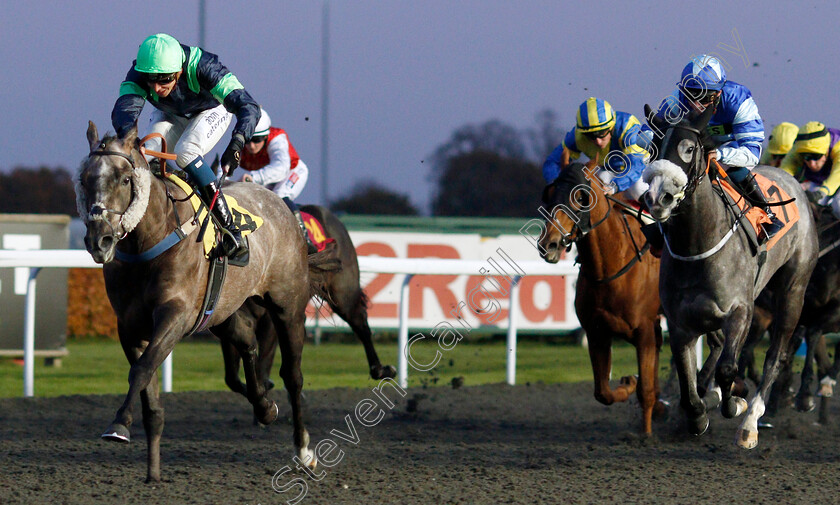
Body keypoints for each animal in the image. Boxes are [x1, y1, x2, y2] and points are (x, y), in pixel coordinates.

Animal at [540, 161, 668, 434]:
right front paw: (630, 383)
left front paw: (646, 434)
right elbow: (603, 392)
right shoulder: (597, 331)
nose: (549, 245)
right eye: (550, 193)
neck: (610, 267)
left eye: (580, 197)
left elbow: (645, 391)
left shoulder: (643, 331)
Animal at [640, 105, 816, 444]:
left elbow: (728, 369)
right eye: (653, 148)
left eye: (689, 148)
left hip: (794, 290)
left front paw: (735, 403)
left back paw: (751, 421)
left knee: (775, 356)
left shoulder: (740, 311)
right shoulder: (681, 322)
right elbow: (688, 383)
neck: (697, 243)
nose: (658, 198)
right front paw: (698, 414)